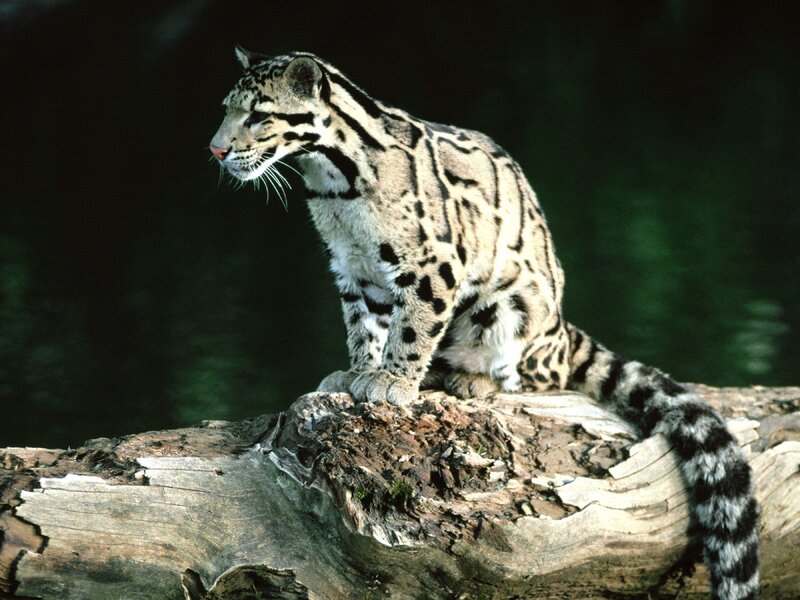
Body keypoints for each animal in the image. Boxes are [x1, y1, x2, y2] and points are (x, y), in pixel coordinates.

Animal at [210, 48, 759, 600]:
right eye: (226, 109)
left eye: (258, 115)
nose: (215, 150)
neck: (334, 186)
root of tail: (564, 332)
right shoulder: (352, 268)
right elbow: (363, 326)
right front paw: (358, 372)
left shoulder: (433, 263)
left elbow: (411, 329)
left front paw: (391, 382)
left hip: (509, 310)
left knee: (534, 377)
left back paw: (469, 379)